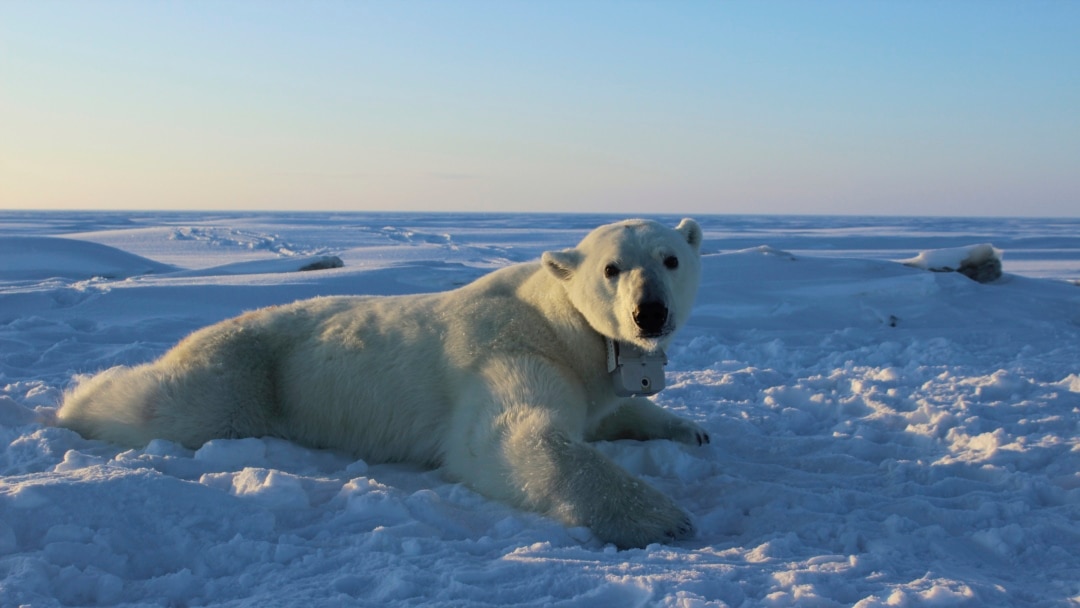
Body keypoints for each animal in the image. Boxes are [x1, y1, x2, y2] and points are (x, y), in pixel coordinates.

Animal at [57, 218, 709, 549]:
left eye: (670, 258)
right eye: (611, 268)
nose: (649, 313)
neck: (558, 322)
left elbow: (614, 409)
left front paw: (690, 430)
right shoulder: (511, 352)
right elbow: (509, 438)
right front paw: (663, 517)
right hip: (245, 375)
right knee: (165, 405)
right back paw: (74, 400)